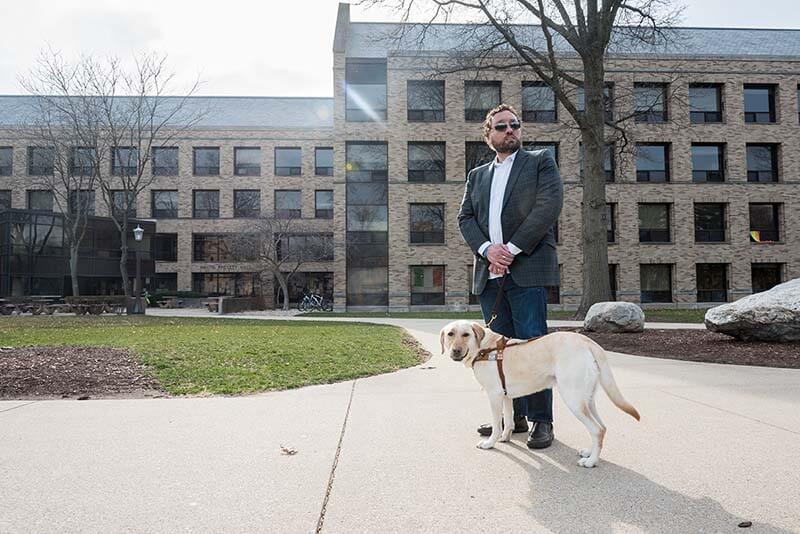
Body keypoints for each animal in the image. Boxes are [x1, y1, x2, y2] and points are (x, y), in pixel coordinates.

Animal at [440, 322, 640, 468]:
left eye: (466, 335)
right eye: (450, 334)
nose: (455, 351)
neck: (484, 348)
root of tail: (587, 341)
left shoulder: (494, 395)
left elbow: (497, 424)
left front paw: (490, 443)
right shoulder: (505, 395)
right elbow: (509, 420)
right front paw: (505, 437)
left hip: (573, 398)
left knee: (596, 429)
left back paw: (591, 461)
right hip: (587, 398)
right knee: (602, 427)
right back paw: (589, 453)